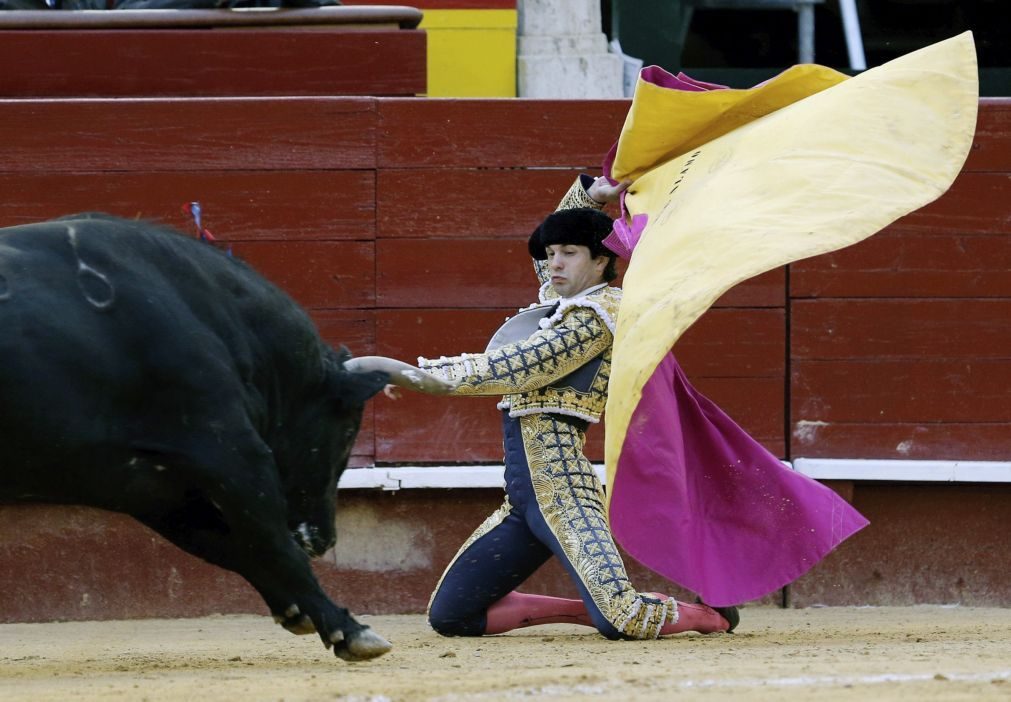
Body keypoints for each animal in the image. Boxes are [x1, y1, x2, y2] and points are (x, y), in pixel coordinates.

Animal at [0, 213, 452, 659]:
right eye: (347, 433)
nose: (325, 540)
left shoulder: (145, 486)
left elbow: (228, 544)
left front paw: (296, 610)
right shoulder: (230, 451)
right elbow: (272, 542)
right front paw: (349, 630)